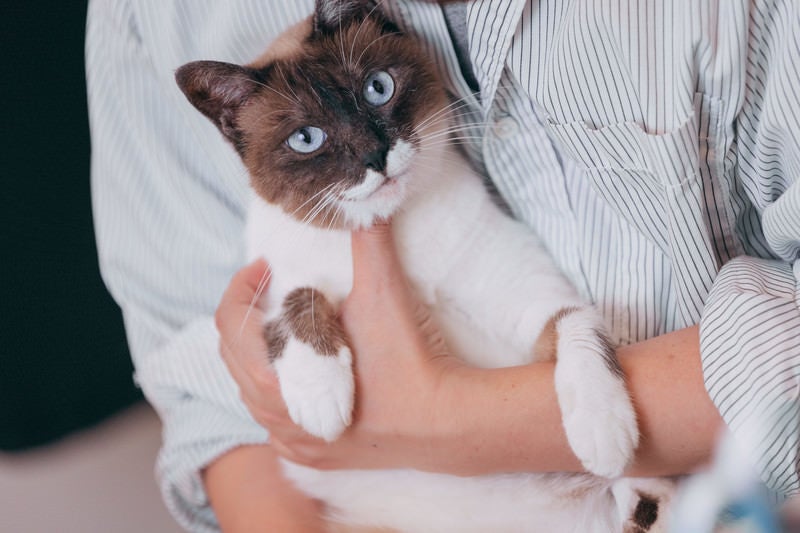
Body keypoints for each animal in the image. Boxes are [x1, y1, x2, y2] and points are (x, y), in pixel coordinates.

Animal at [177, 2, 676, 528]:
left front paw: (603, 430)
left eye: (377, 88)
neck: (397, 228)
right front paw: (321, 398)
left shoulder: (531, 293)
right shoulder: (269, 281)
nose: (375, 156)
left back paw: (639, 499)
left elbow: (575, 324)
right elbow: (297, 295)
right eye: (306, 138)